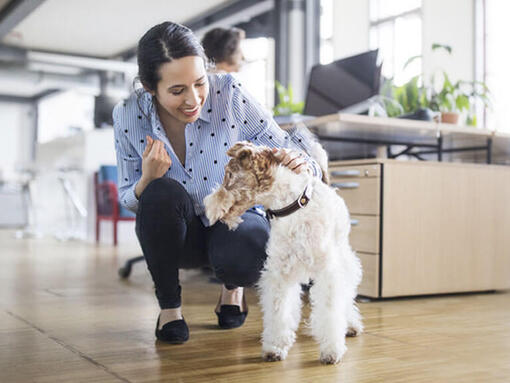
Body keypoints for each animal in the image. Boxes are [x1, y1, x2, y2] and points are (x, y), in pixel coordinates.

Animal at [203, 142, 362, 366]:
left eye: (230, 175)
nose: (206, 206)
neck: (292, 206)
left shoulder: (327, 272)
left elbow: (330, 311)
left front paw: (331, 351)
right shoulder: (280, 271)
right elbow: (278, 310)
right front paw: (275, 347)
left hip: (343, 260)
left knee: (346, 296)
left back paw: (351, 325)